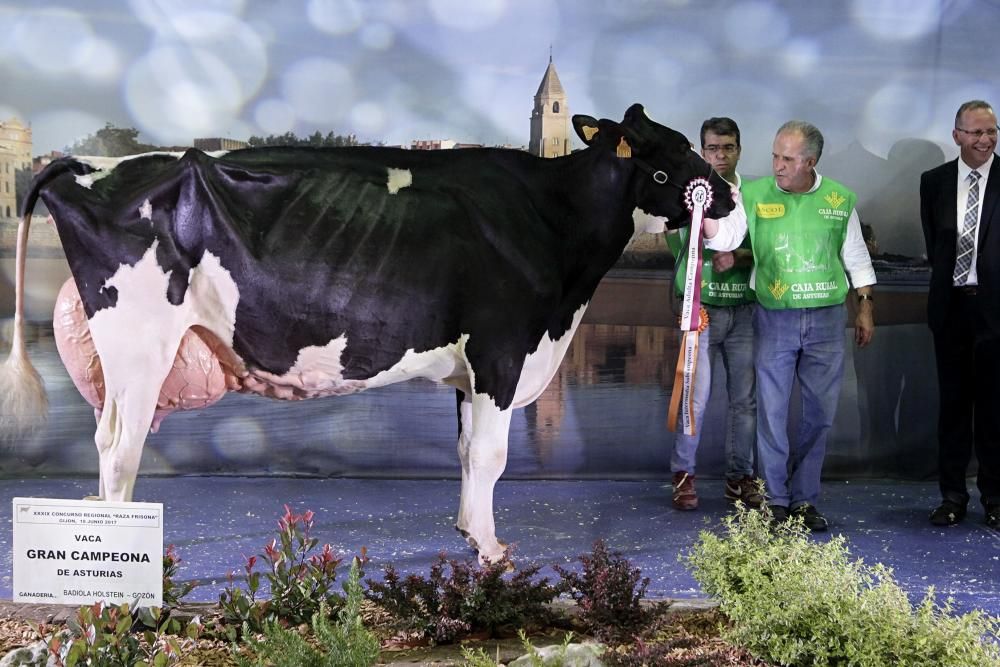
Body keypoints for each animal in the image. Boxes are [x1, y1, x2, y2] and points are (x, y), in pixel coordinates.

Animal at [1, 105, 736, 564]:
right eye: (668, 162)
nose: (727, 200)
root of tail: (91, 164)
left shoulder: (470, 368)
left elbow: (466, 453)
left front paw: (468, 532)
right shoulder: (502, 350)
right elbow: (492, 457)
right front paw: (492, 549)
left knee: (107, 441)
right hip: (139, 345)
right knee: (120, 450)